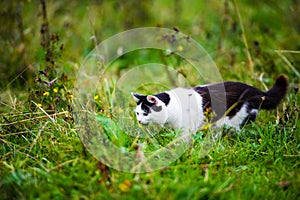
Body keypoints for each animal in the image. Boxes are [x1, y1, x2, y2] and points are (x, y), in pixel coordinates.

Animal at [131, 74, 288, 137]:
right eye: (137, 113)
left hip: (233, 121)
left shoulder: (187, 128)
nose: (138, 121)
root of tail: (254, 90)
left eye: (145, 113)